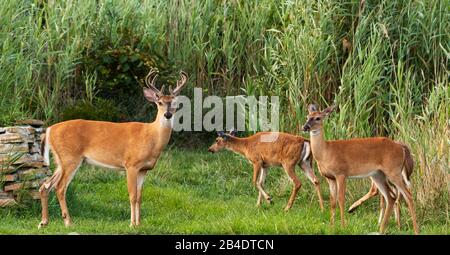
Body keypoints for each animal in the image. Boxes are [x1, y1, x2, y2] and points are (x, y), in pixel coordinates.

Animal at [37, 68, 188, 228]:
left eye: (175, 103)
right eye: (159, 102)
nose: (167, 114)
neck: (151, 137)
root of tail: (49, 130)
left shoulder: (144, 169)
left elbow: (140, 197)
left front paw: (139, 223)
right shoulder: (131, 164)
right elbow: (132, 195)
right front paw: (132, 224)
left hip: (61, 160)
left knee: (45, 185)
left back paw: (44, 222)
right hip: (70, 157)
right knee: (60, 187)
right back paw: (68, 222)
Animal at [302, 104, 418, 235]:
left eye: (318, 118)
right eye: (307, 116)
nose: (305, 127)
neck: (325, 152)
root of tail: (401, 147)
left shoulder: (341, 173)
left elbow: (341, 199)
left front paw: (343, 226)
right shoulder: (330, 178)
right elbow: (332, 202)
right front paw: (331, 226)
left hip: (393, 171)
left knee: (408, 195)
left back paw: (415, 230)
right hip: (378, 174)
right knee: (391, 197)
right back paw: (381, 229)